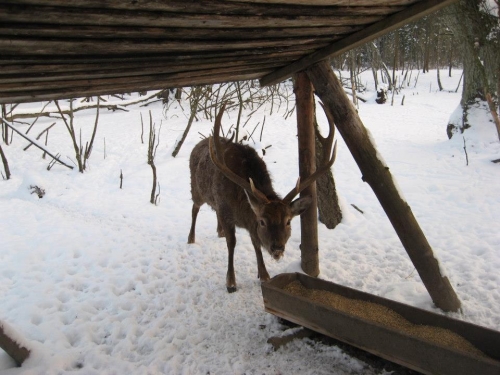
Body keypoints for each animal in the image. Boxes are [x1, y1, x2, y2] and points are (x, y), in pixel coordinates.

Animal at [188, 103, 336, 294]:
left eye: (288, 221)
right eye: (263, 221)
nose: (278, 248)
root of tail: (198, 144)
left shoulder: (245, 221)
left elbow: (256, 243)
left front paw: (264, 275)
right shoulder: (226, 210)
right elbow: (232, 243)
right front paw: (231, 282)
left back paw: (218, 231)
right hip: (196, 189)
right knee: (194, 208)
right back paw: (191, 238)